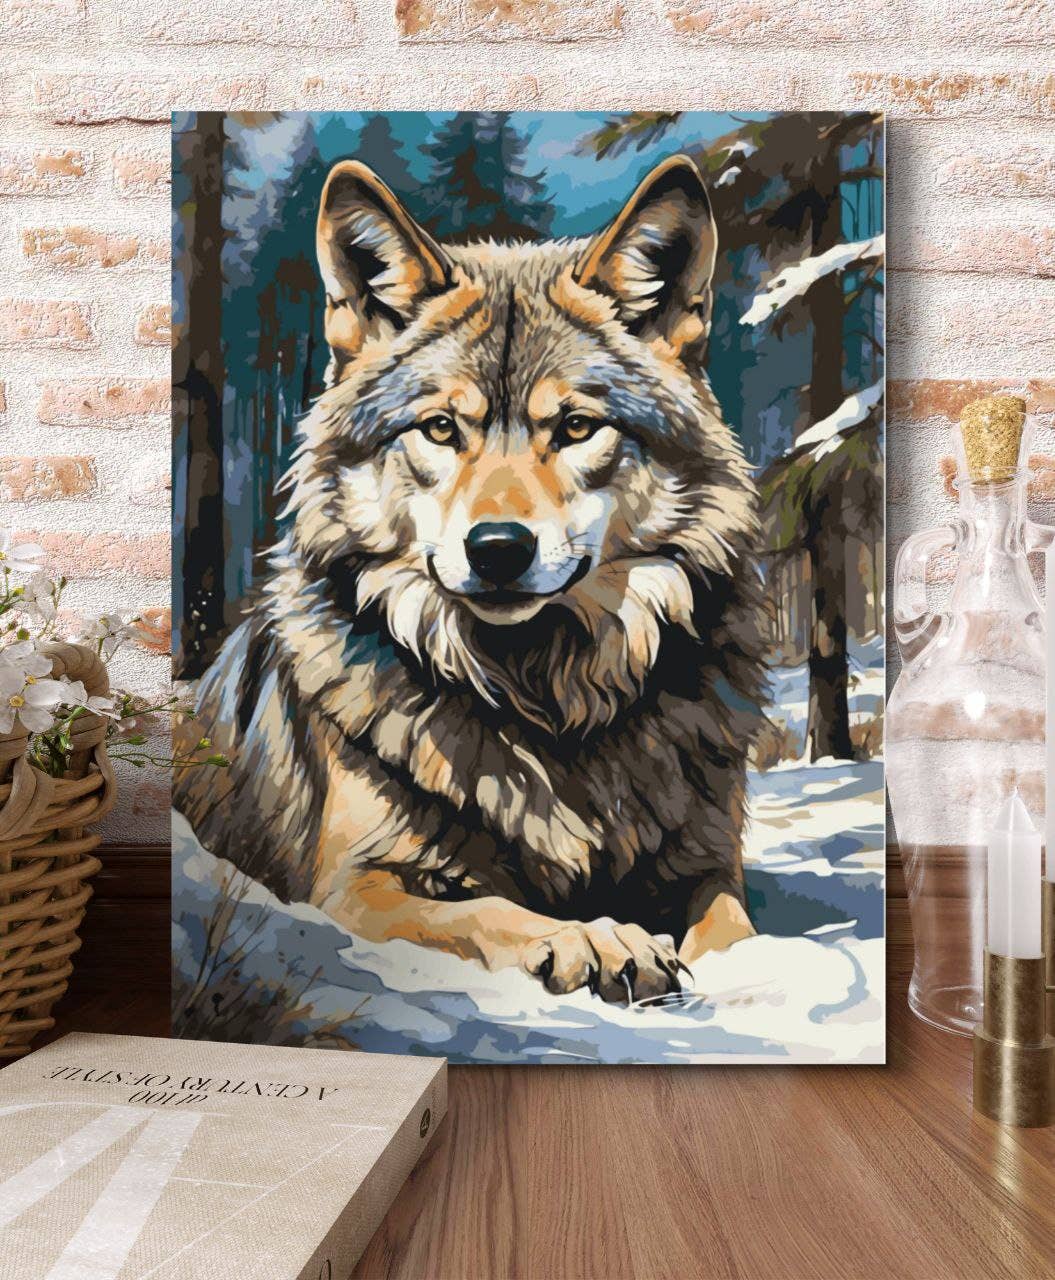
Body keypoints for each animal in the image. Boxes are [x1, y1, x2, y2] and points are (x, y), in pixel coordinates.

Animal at [176, 151, 768, 1004]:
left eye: (576, 427)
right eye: (440, 428)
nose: (496, 549)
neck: (545, 700)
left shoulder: (708, 866)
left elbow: (735, 928)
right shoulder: (354, 886)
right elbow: (488, 911)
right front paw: (594, 938)